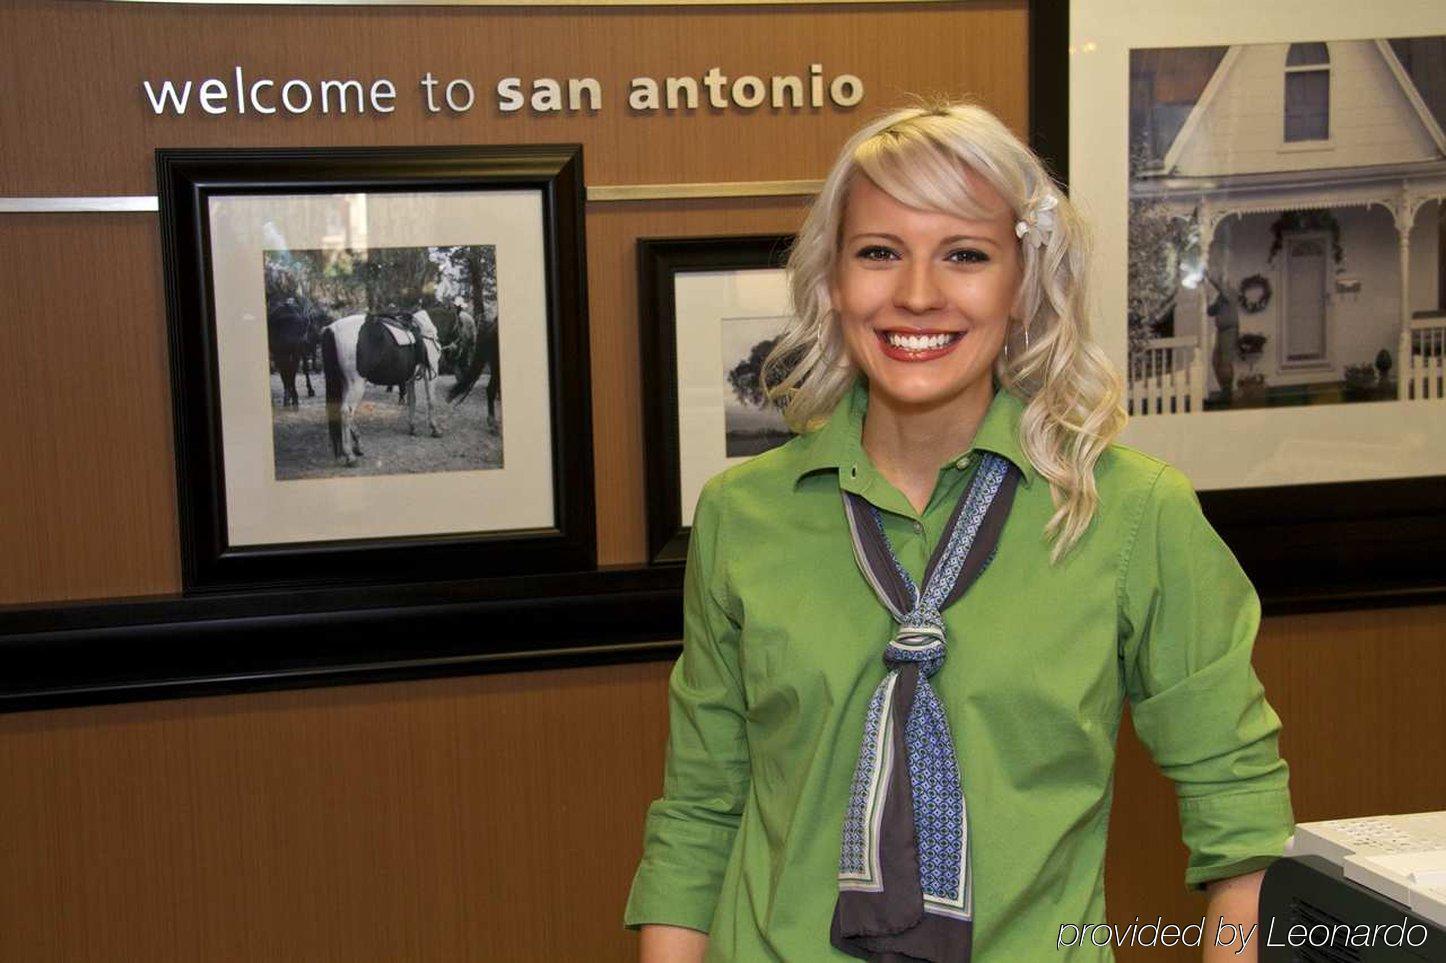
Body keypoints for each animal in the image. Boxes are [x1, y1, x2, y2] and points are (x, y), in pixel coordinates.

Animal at [321, 309, 439, 462]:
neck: (426, 331)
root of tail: (332, 329)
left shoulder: (410, 378)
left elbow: (412, 401)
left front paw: (412, 427)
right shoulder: (430, 374)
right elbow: (431, 401)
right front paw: (435, 429)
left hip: (345, 383)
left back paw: (358, 445)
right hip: (356, 385)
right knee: (347, 412)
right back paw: (350, 455)